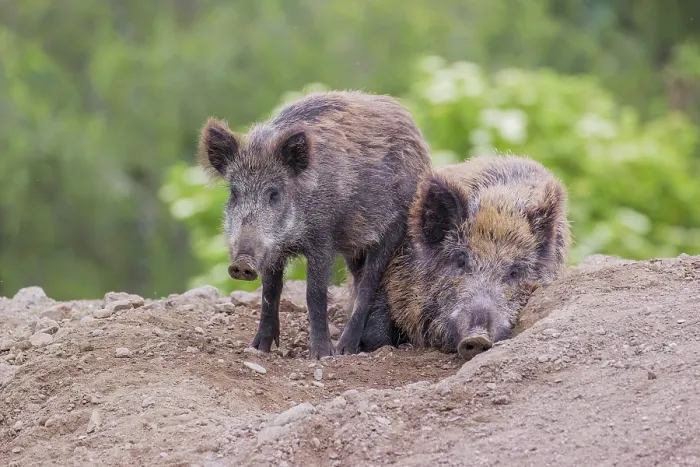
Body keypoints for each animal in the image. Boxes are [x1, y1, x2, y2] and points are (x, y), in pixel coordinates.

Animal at [197, 90, 432, 358]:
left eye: (274, 194)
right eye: (234, 194)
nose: (242, 264)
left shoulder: (323, 241)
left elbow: (315, 294)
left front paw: (321, 355)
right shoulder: (273, 251)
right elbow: (270, 293)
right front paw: (257, 349)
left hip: (393, 229)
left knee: (369, 284)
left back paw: (345, 349)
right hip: (355, 245)